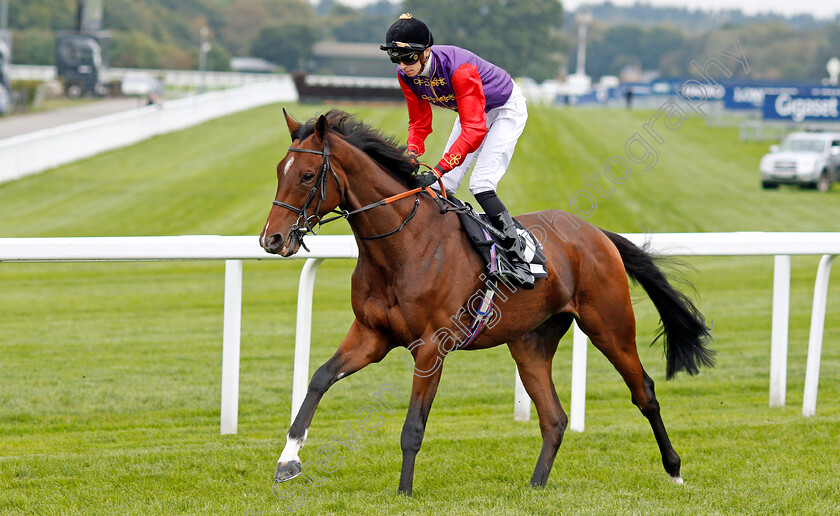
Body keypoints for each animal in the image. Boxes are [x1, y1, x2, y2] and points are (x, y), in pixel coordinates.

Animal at [260, 110, 712, 496]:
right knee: (554, 419)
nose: (271, 239)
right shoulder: (372, 334)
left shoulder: (432, 346)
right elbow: (319, 378)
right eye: (278, 172)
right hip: (530, 343)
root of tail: (596, 233)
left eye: (306, 175)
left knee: (644, 392)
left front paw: (404, 493)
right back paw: (535, 486)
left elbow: (413, 426)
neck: (403, 247)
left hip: (610, 326)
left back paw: (674, 470)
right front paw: (287, 461)